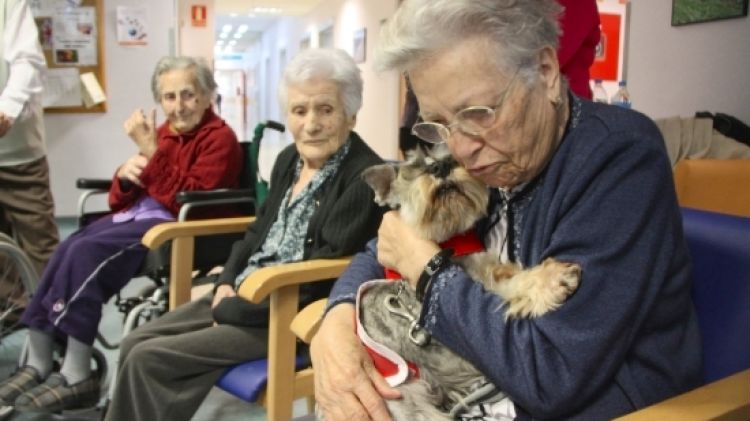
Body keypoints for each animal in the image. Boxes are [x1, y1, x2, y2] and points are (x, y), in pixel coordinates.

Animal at [354, 146, 580, 418]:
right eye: (414, 168)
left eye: (450, 156)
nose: (441, 167)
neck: (451, 243)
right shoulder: (460, 360)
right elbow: (501, 290)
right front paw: (552, 280)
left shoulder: (483, 266)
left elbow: (503, 275)